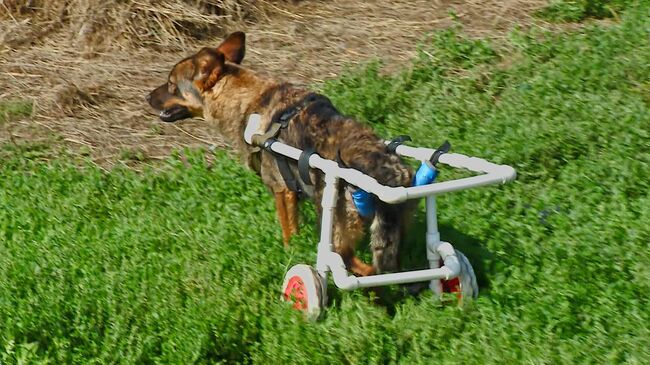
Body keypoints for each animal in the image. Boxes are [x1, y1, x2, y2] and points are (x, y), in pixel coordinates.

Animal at [147, 32, 412, 276]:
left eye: (171, 85)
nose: (147, 97)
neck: (248, 100)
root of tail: (387, 174)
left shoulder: (281, 191)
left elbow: (288, 232)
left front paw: (290, 254)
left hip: (333, 225)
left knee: (357, 266)